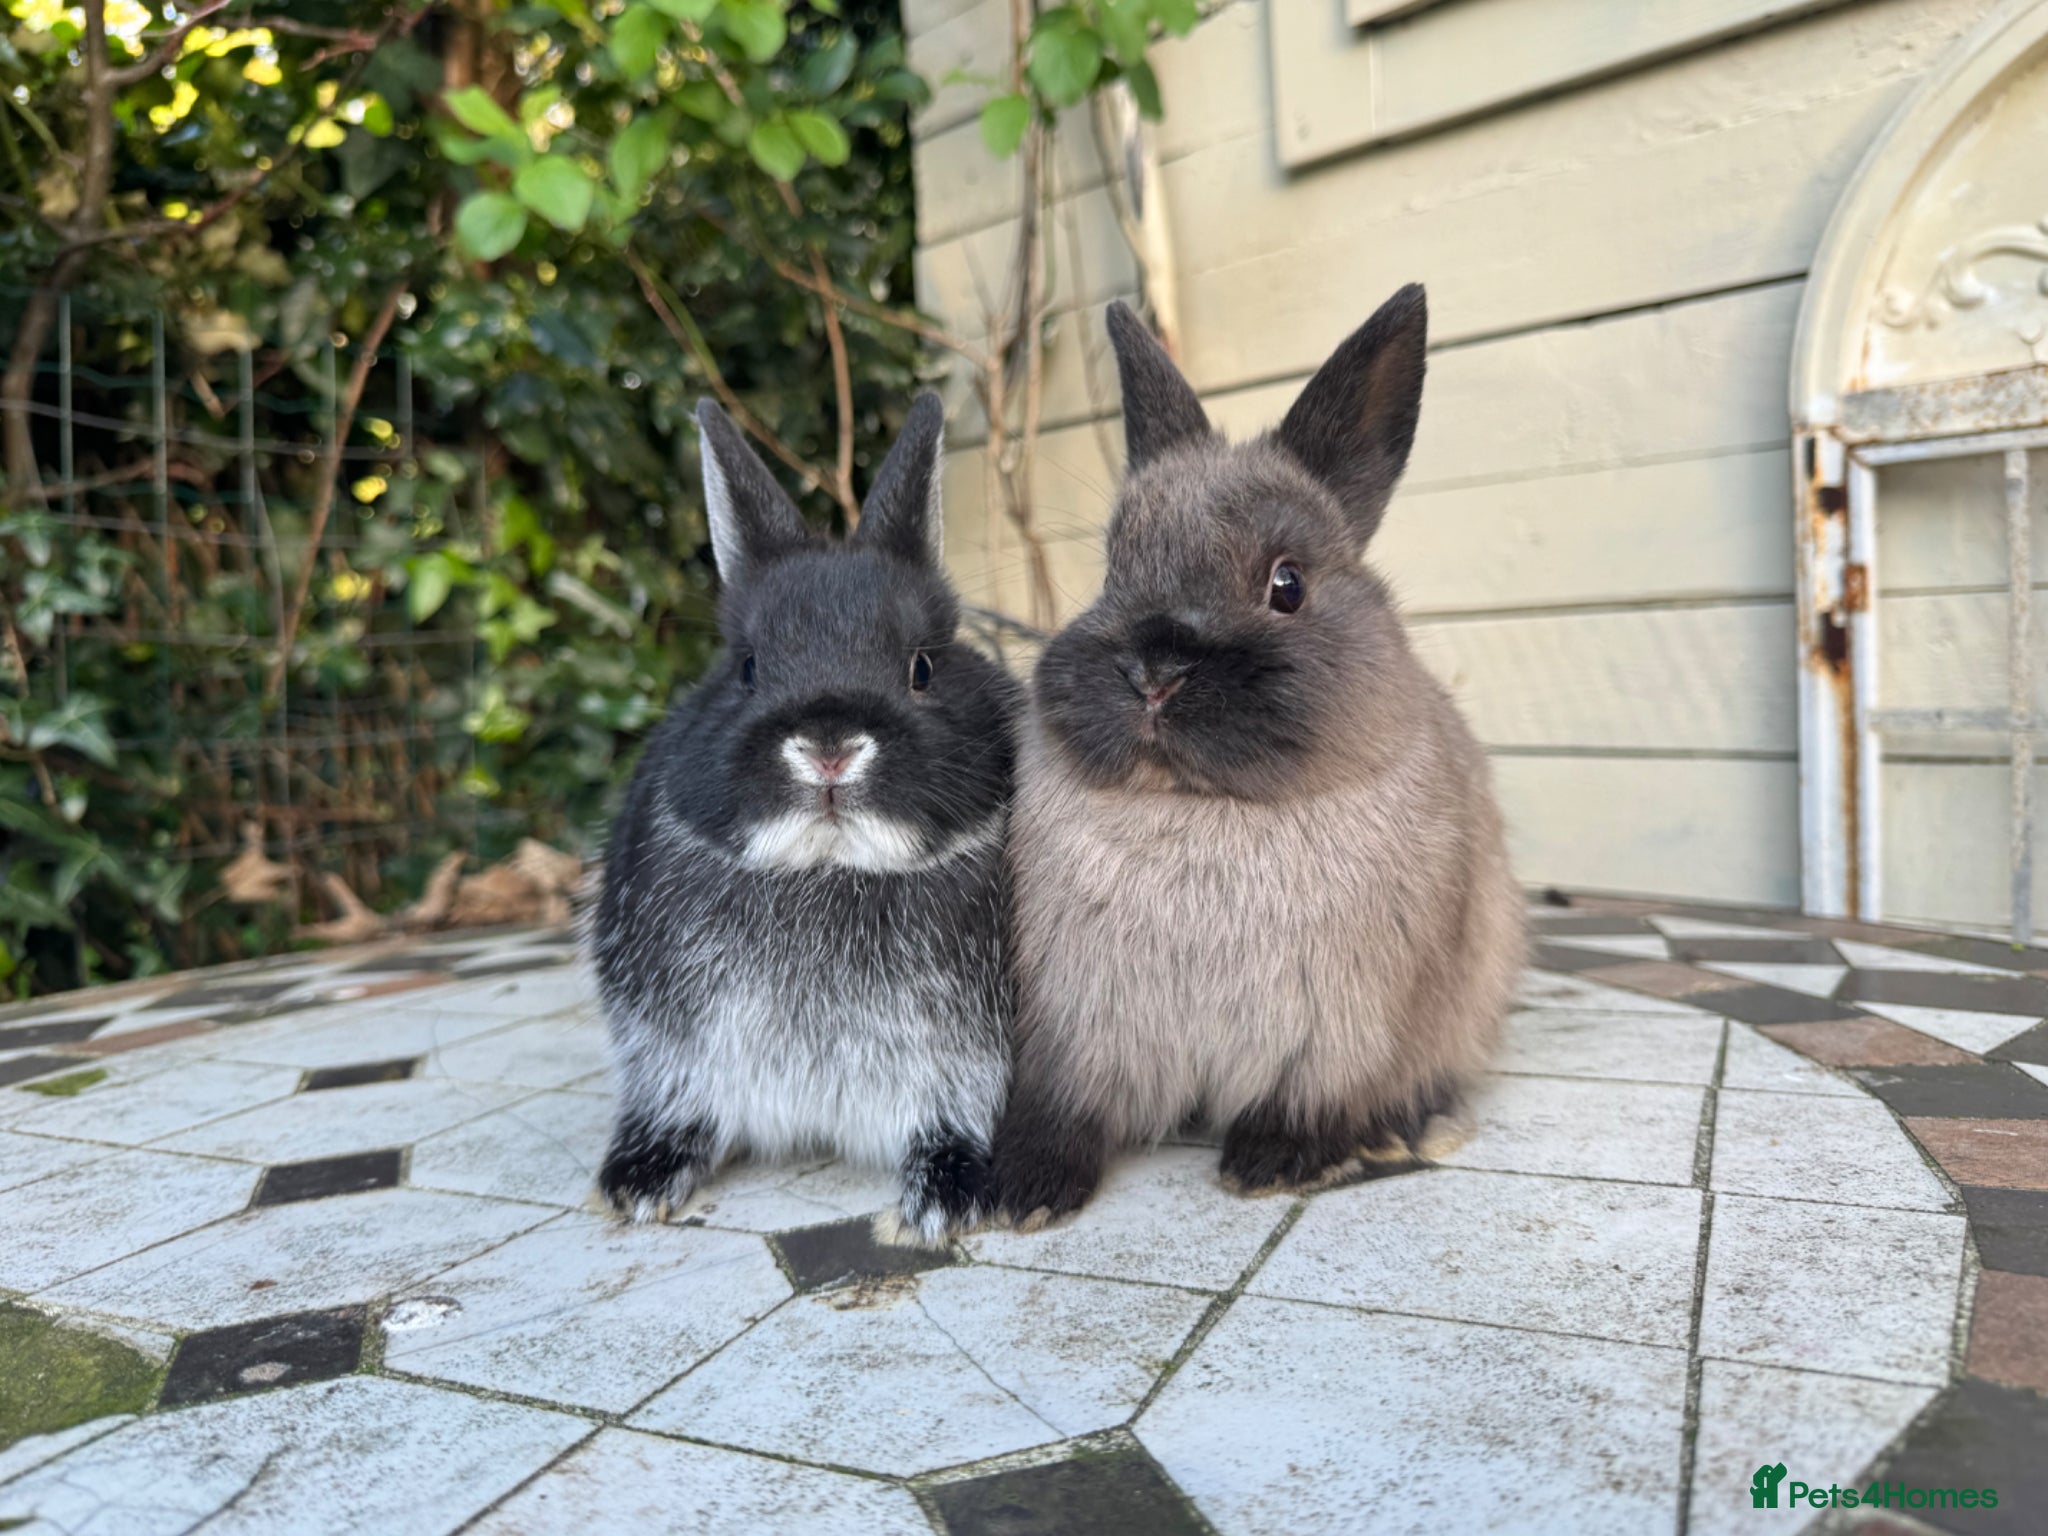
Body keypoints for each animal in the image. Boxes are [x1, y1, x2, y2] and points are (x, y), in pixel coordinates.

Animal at [590, 392, 1019, 1243]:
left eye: (924, 667)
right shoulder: (670, 1048)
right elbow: (676, 1099)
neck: (829, 867)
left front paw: (945, 1195)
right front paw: (640, 1181)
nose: (828, 748)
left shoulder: (971, 1060)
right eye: (747, 668)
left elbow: (958, 1111)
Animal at [991, 286, 1524, 1225]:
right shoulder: (1078, 1028)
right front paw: (1024, 1191)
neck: (1202, 807)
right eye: (1111, 572)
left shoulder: (1340, 1037)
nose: (1155, 673)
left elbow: (1311, 1100)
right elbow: (1065, 1109)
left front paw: (1272, 1164)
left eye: (1288, 584)